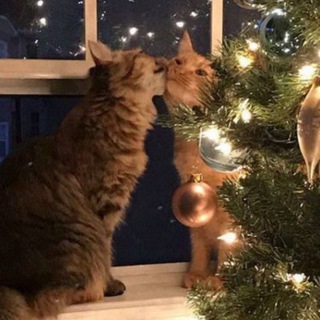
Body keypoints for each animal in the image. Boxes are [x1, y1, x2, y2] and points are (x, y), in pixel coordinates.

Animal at [0, 41, 168, 318]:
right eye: (141, 54)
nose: (163, 57)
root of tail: (11, 285)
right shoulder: (106, 202)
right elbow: (108, 250)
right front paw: (111, 284)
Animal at [164, 32, 239, 290]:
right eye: (178, 61)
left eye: (200, 72)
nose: (176, 69)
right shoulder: (192, 198)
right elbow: (199, 244)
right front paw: (197, 272)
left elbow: (229, 245)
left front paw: (220, 278)